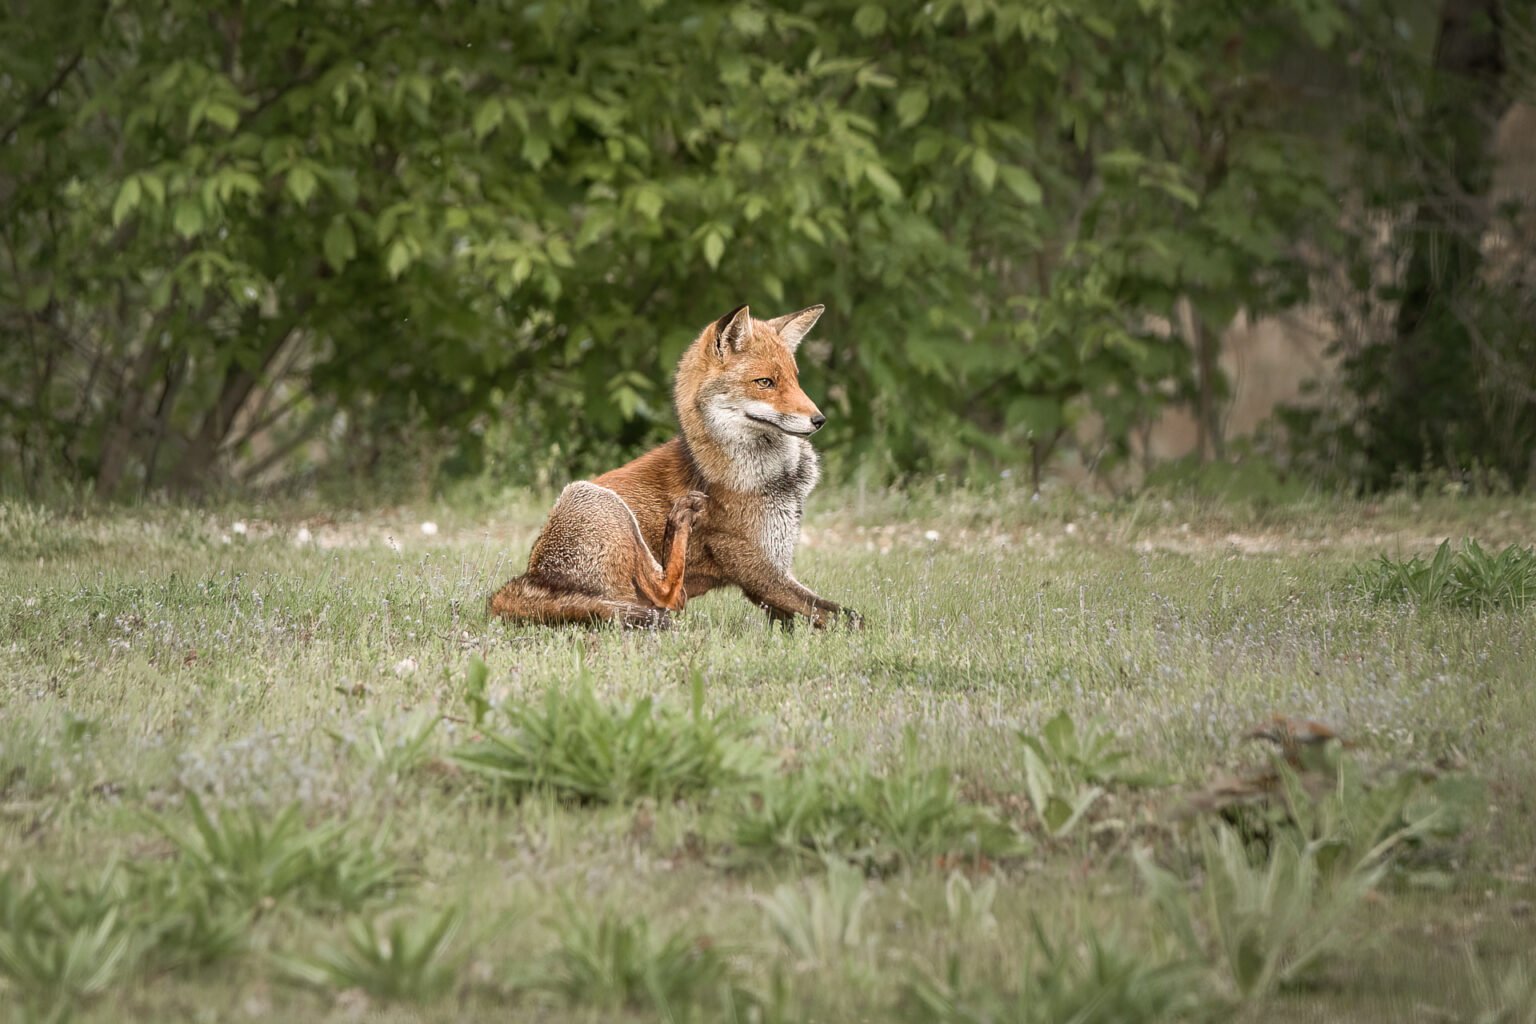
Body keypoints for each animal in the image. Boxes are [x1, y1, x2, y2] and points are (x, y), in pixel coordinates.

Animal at [490, 303, 860, 630]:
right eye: (765, 382)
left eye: (796, 380)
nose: (819, 420)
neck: (779, 478)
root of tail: (532, 575)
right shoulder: (761, 573)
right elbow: (848, 617)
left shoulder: (777, 568)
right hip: (591, 496)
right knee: (667, 595)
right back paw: (680, 520)